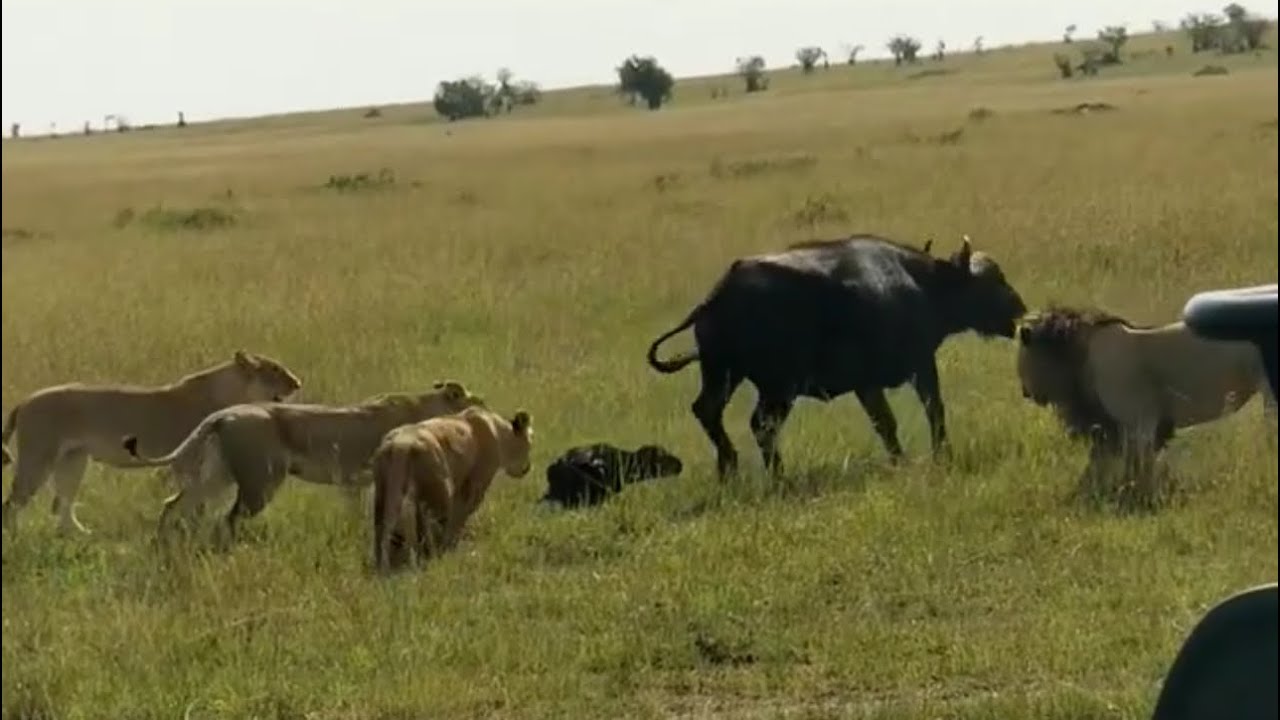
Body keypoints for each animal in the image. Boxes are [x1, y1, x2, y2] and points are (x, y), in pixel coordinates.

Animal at [1, 350, 302, 535]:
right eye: (275, 369)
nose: (298, 383)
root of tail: (25, 401)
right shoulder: (187, 461)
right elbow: (194, 500)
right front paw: (190, 528)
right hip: (38, 457)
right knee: (13, 503)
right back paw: (15, 538)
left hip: (73, 460)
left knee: (63, 504)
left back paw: (82, 534)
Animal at [118, 380, 487, 540]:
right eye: (476, 400)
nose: (486, 405)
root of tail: (223, 414)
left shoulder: (355, 481)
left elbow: (360, 511)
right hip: (262, 480)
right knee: (229, 518)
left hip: (218, 475)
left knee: (173, 503)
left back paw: (162, 544)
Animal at [370, 405, 534, 573]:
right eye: (529, 443)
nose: (527, 468)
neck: (498, 431)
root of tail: (400, 447)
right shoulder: (476, 484)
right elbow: (460, 515)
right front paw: (454, 545)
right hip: (441, 490)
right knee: (436, 524)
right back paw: (436, 554)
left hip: (384, 492)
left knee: (383, 527)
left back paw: (384, 565)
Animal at [645, 233, 1027, 479]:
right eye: (992, 280)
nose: (1020, 311)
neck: (920, 283)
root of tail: (719, 296)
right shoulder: (921, 366)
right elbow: (933, 411)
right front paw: (940, 454)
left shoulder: (867, 385)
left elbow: (884, 424)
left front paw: (899, 461)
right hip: (778, 388)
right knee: (761, 425)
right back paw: (778, 476)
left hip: (723, 374)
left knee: (708, 411)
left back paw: (729, 469)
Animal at [1016, 305, 1275, 503]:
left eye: (1024, 358)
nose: (1026, 392)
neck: (1084, 356)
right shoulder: (1121, 429)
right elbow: (1105, 467)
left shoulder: (1139, 423)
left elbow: (1139, 466)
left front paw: (1141, 497)